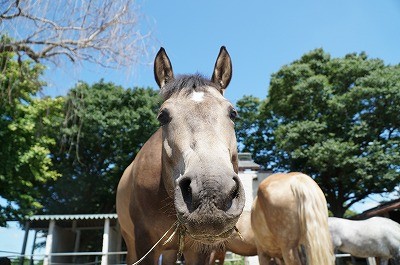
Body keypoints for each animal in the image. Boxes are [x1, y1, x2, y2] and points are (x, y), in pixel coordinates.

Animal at [115, 46, 245, 262]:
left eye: (232, 113)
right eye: (163, 116)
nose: (211, 194)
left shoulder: (201, 250)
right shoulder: (144, 244)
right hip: (131, 242)